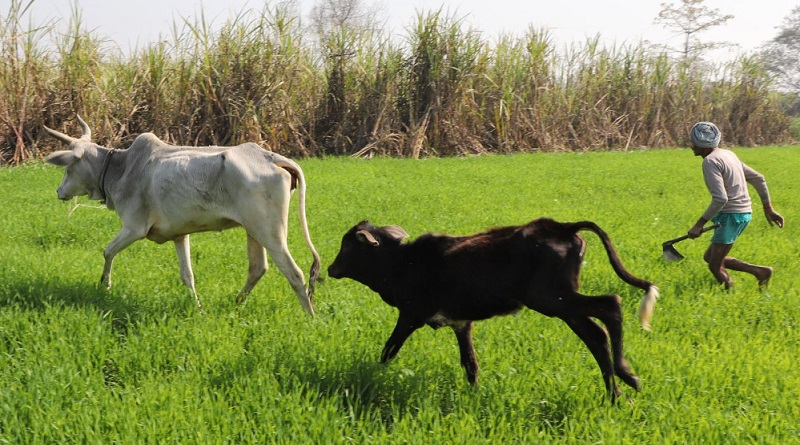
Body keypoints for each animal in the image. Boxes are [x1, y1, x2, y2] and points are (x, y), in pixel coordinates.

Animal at [43, 116, 318, 314]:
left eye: (68, 167)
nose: (58, 191)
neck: (121, 169)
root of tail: (272, 158)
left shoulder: (134, 228)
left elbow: (107, 251)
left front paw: (105, 285)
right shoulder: (179, 234)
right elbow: (188, 276)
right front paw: (198, 307)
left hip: (269, 231)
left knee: (295, 274)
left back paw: (310, 317)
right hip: (253, 230)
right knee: (258, 268)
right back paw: (235, 304)